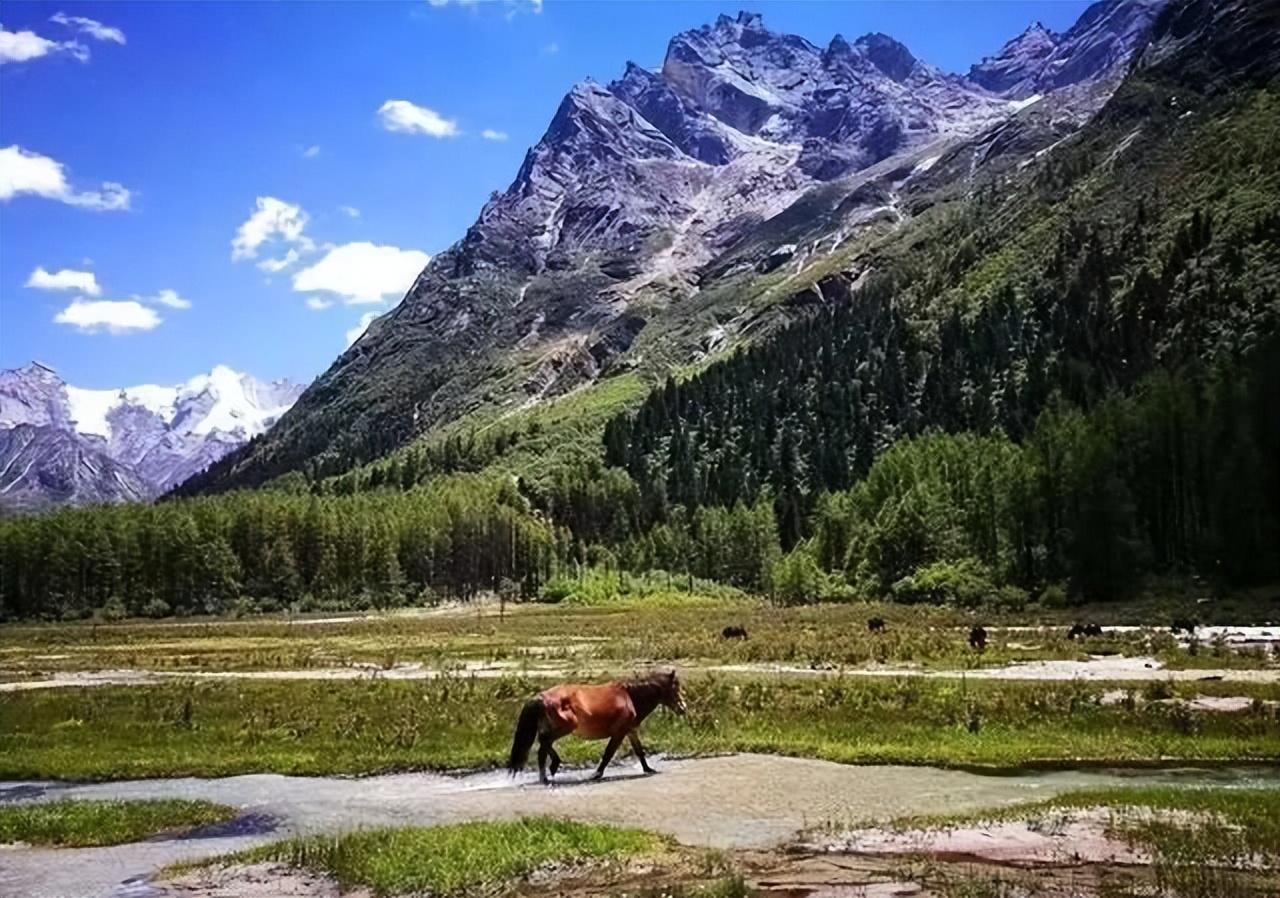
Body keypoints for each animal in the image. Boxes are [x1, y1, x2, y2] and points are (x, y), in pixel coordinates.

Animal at [506, 670, 691, 782]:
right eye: (675, 688)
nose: (683, 708)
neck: (629, 696)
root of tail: (541, 697)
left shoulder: (630, 731)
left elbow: (639, 751)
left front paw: (648, 769)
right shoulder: (619, 733)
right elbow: (608, 753)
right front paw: (596, 774)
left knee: (544, 744)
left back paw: (552, 769)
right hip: (565, 727)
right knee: (543, 746)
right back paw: (547, 775)